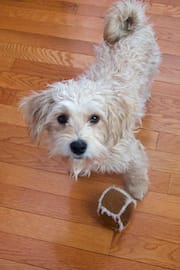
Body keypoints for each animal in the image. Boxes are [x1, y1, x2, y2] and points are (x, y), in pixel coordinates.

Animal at [20, 0, 161, 198]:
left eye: (95, 118)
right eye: (61, 118)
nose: (78, 146)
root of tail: (132, 26)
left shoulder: (133, 151)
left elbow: (137, 170)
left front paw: (138, 188)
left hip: (151, 70)